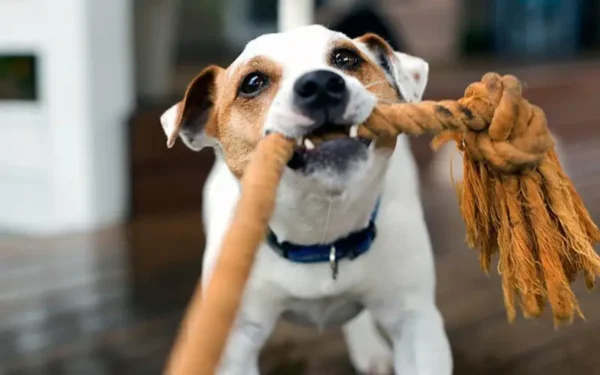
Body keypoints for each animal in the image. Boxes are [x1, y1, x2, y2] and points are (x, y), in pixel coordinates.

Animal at [159, 25, 450, 374]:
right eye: (252, 83)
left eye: (346, 58)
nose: (321, 84)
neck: (321, 235)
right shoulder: (235, 342)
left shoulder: (416, 322)